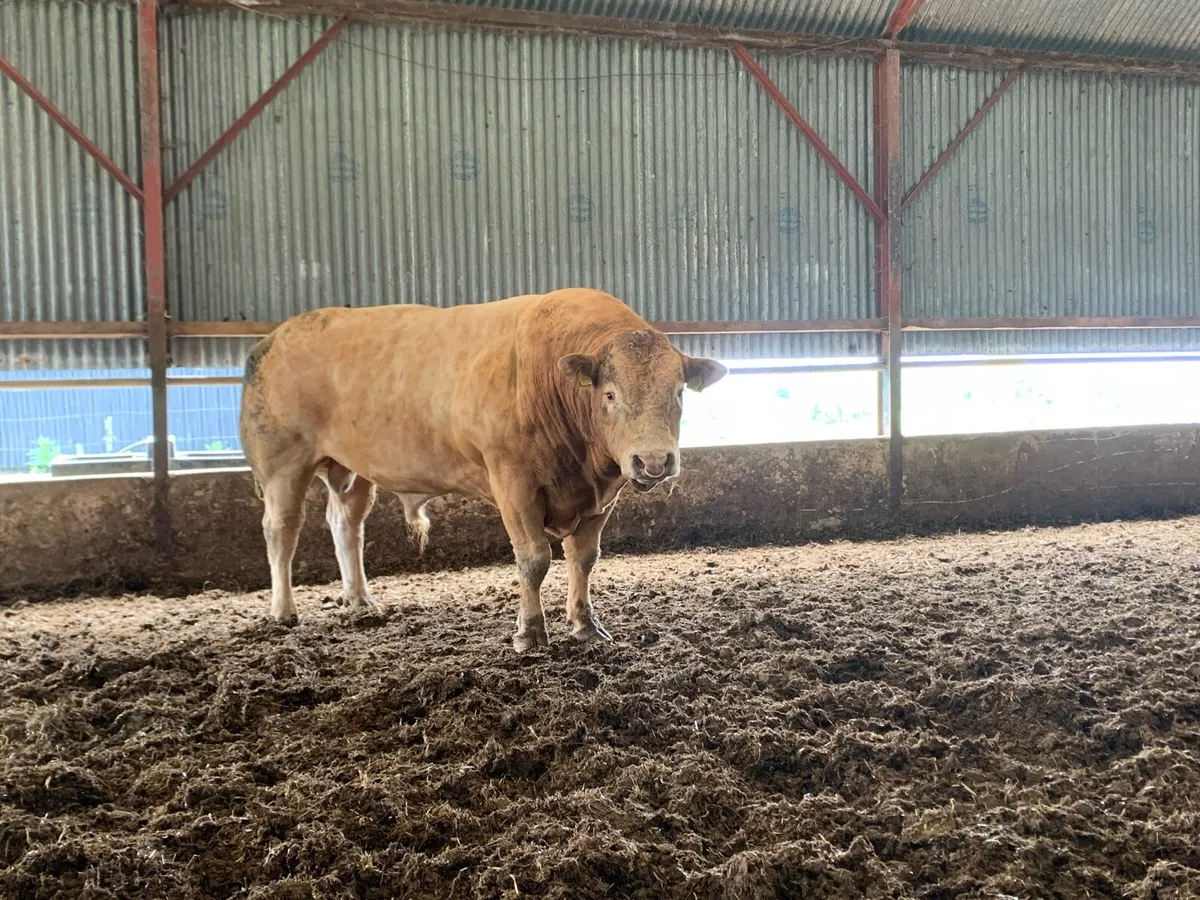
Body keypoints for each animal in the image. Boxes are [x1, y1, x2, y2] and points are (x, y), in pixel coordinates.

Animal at [238, 288, 727, 652]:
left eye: (679, 391)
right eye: (609, 394)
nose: (654, 461)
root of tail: (271, 340)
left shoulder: (602, 494)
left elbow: (584, 558)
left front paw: (586, 625)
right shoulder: (513, 483)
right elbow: (534, 559)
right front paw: (529, 632)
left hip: (353, 468)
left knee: (346, 525)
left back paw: (360, 600)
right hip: (283, 462)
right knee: (281, 531)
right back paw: (284, 611)